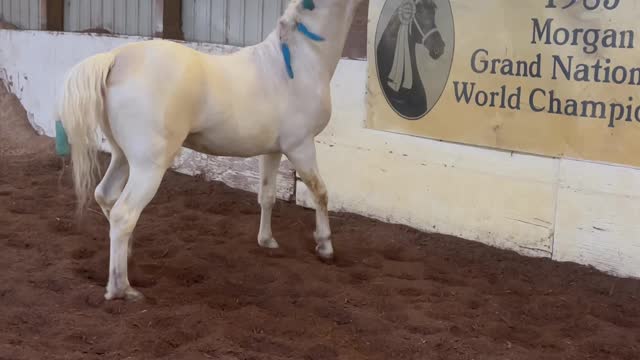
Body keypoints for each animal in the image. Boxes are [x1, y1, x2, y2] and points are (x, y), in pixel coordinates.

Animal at [56, 0, 364, 300]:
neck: (297, 63)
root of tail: (116, 58)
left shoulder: (273, 150)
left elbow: (267, 196)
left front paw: (267, 241)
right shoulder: (301, 147)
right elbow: (320, 193)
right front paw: (325, 247)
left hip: (122, 158)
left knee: (106, 196)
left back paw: (128, 256)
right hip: (148, 167)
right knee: (124, 214)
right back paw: (122, 289)